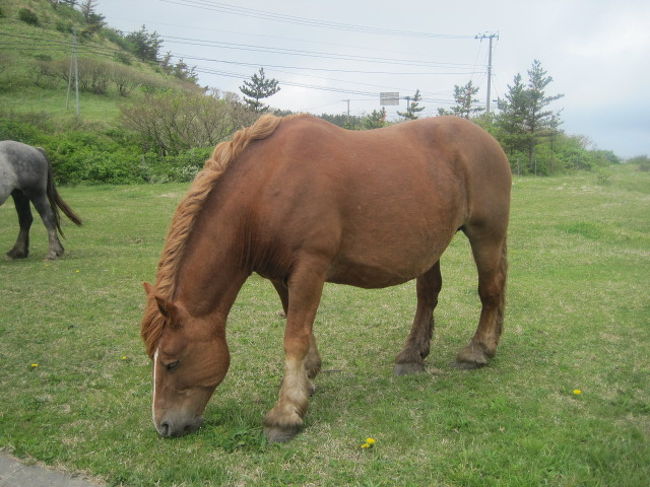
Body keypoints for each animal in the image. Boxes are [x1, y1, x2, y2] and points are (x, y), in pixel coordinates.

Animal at [139, 113, 508, 442]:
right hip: (431, 243)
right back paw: (411, 356)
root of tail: (488, 140)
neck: (267, 188)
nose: (164, 426)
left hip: (485, 234)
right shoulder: (281, 276)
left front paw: (285, 414)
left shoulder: (310, 269)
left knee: (490, 290)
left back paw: (478, 351)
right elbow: (298, 326)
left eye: (171, 363)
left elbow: (294, 338)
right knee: (428, 294)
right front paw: (307, 380)